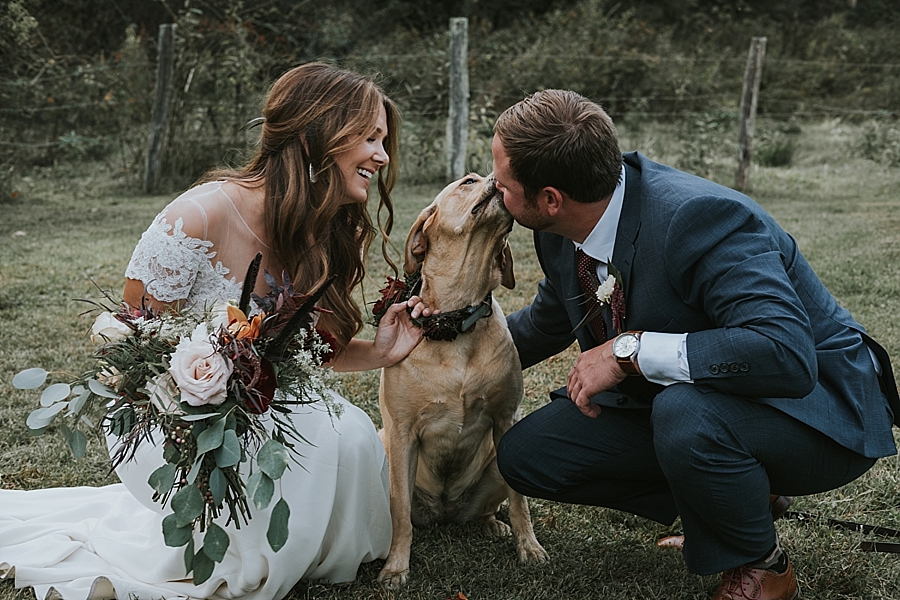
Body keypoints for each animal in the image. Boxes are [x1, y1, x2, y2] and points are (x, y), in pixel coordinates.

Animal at [374, 172, 544, 584]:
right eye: (468, 181)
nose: (498, 177)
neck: (454, 324)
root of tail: (445, 512)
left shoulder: (505, 419)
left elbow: (520, 502)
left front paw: (528, 546)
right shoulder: (401, 432)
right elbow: (400, 514)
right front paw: (396, 566)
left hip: (495, 465)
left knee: (489, 508)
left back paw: (492, 523)